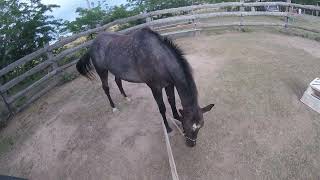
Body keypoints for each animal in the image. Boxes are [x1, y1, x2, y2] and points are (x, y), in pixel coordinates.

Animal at [76, 27, 214, 148]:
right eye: (187, 125)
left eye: (200, 126)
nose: (191, 144)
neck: (158, 59)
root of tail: (93, 44)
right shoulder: (155, 88)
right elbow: (162, 108)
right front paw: (168, 128)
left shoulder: (169, 84)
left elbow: (172, 101)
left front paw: (176, 117)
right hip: (102, 71)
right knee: (105, 88)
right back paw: (114, 107)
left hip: (117, 71)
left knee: (118, 81)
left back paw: (126, 97)